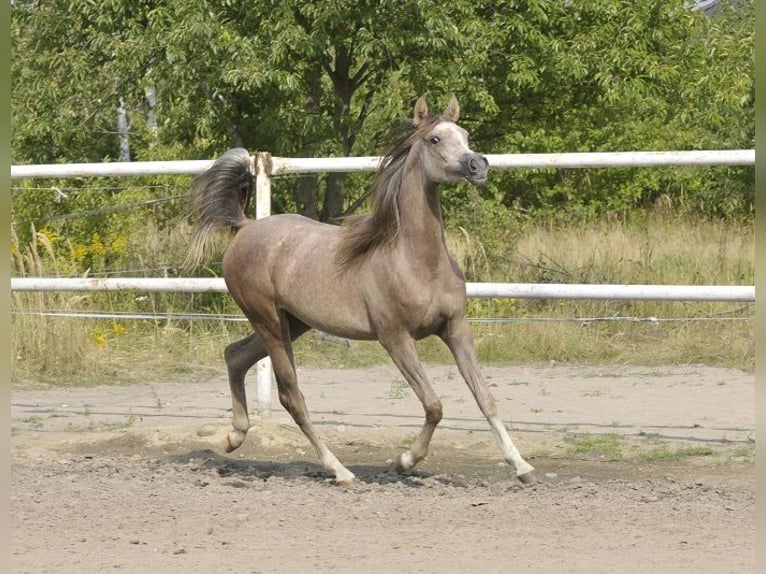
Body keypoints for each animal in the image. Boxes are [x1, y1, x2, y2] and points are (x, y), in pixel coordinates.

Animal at [187, 94, 538, 485]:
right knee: (292, 396)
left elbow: (484, 397)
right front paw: (404, 461)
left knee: (235, 355)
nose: (478, 165)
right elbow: (434, 405)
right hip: (269, 323)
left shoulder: (455, 328)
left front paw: (522, 466)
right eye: (435, 139)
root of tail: (245, 227)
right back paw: (340, 471)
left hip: (292, 322)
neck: (417, 261)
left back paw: (233, 437)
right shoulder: (395, 338)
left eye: (465, 134)